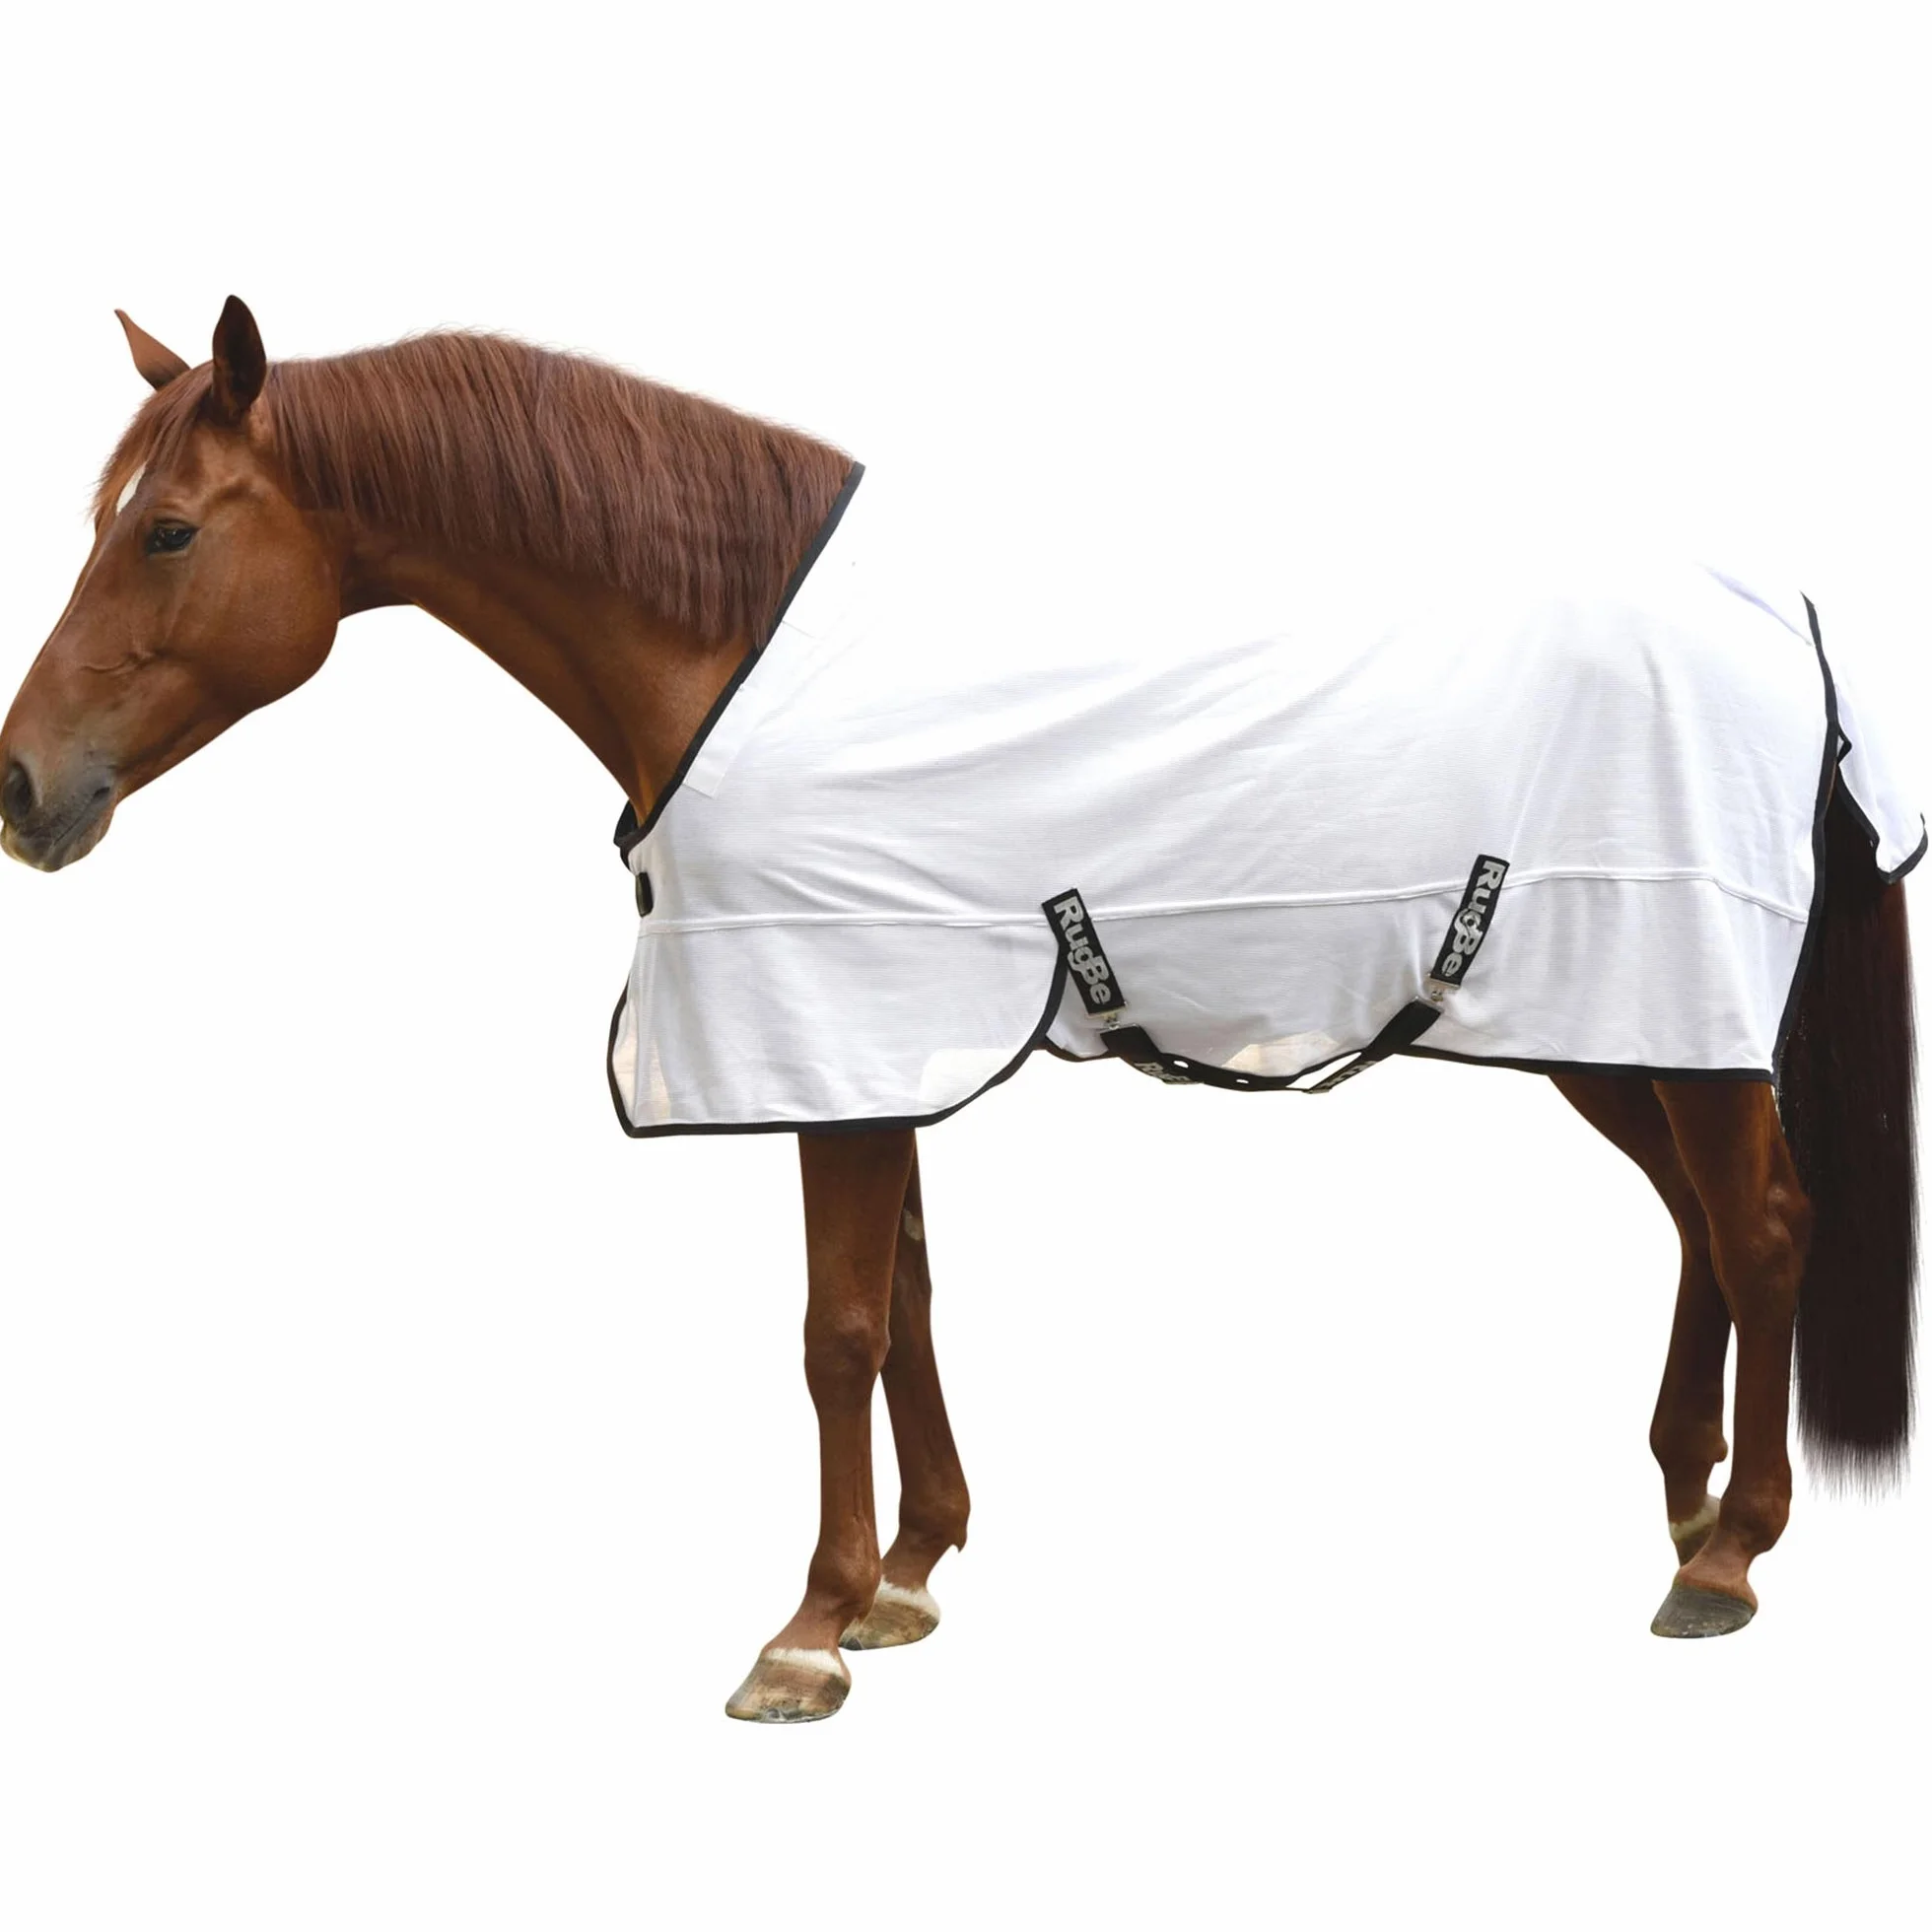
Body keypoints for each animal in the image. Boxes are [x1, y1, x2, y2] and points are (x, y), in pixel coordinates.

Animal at [1, 297, 1917, 1724]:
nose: (21, 789)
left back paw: (1727, 1556)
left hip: (1664, 1009)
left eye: (165, 529)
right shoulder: (884, 1038)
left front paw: (807, 1630)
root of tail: (1789, 614)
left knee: (1760, 1226)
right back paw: (1684, 1493)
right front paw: (910, 1579)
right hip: (1614, 1024)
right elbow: (911, 1297)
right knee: (1702, 1224)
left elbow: (836, 1329)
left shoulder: (834, 1034)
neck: (725, 648)